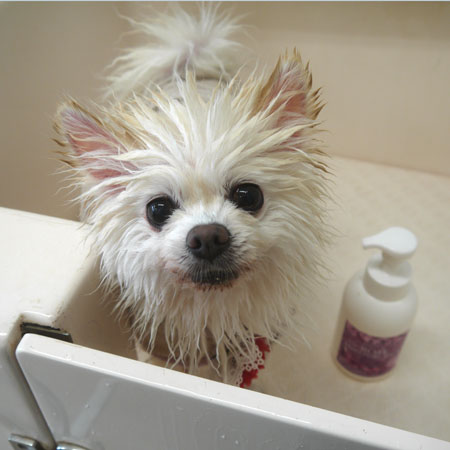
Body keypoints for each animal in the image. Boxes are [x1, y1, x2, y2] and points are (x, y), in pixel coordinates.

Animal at [55, 4, 329, 387]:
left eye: (249, 196)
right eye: (158, 210)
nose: (208, 236)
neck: (210, 308)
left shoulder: (249, 346)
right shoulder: (158, 343)